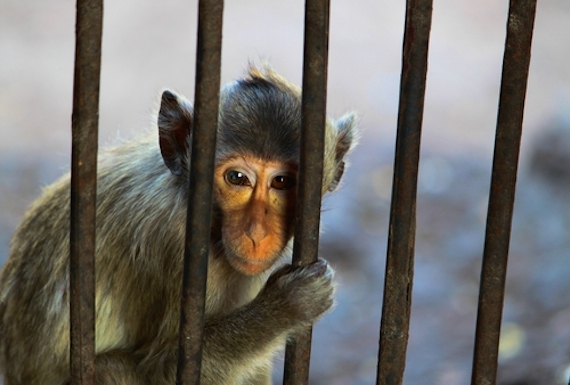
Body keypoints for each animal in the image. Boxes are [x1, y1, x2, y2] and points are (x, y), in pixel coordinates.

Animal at [0, 64, 356, 382]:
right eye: (237, 178)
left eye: (282, 182)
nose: (256, 233)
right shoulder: (174, 245)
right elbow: (165, 370)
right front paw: (286, 307)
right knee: (107, 370)